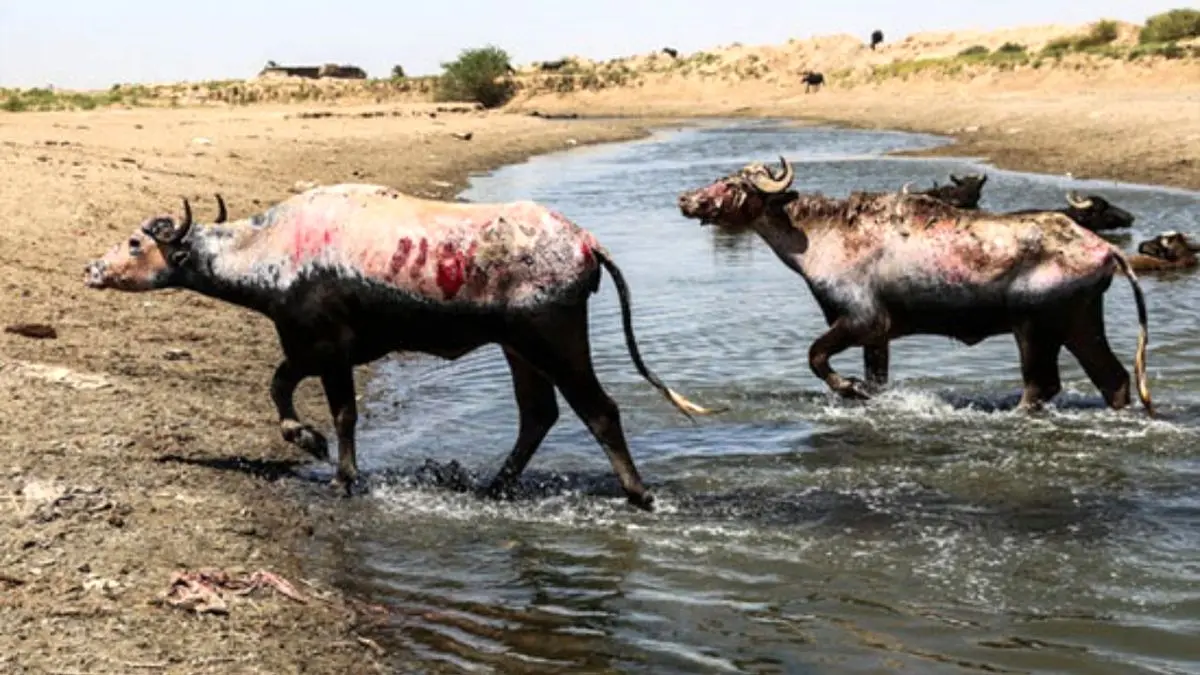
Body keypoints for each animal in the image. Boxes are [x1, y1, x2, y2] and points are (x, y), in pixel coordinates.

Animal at [88, 181, 720, 506]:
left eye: (135, 242)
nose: (93, 268)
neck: (272, 249)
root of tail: (585, 242)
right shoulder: (311, 350)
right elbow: (281, 385)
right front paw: (307, 440)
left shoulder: (328, 350)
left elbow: (332, 409)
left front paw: (335, 466)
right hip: (519, 350)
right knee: (538, 414)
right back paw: (493, 486)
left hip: (553, 342)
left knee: (600, 411)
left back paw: (637, 495)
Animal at [676, 157, 1152, 415]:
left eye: (733, 183)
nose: (686, 198)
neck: (816, 236)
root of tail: (1105, 249)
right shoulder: (879, 336)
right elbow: (877, 379)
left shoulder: (862, 321)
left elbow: (815, 357)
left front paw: (849, 388)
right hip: (1079, 322)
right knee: (1114, 379)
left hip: (1034, 327)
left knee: (1042, 386)